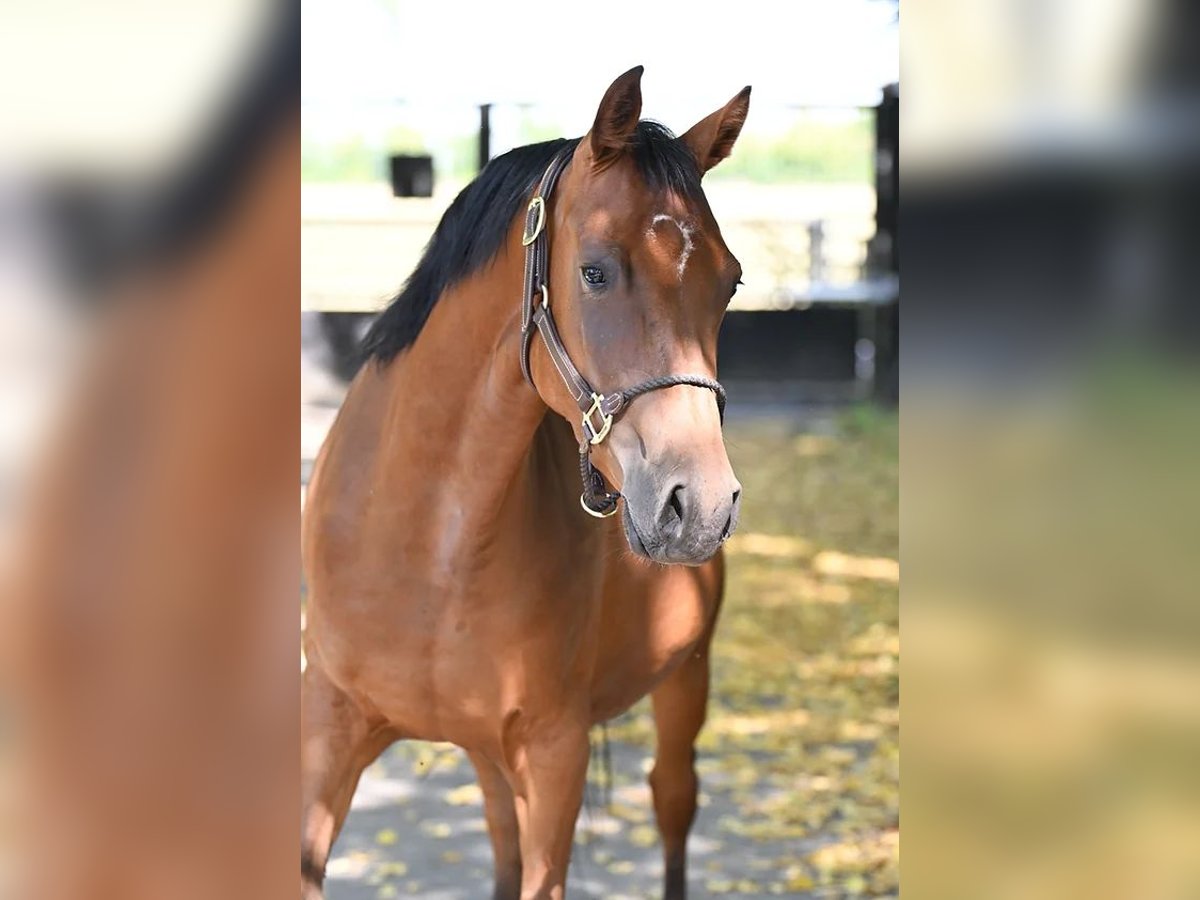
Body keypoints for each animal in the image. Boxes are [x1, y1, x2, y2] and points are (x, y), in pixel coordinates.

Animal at [300, 66, 748, 897]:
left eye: (730, 284)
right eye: (594, 270)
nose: (699, 504)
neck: (427, 546)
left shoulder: (555, 752)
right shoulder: (328, 730)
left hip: (683, 682)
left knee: (673, 803)